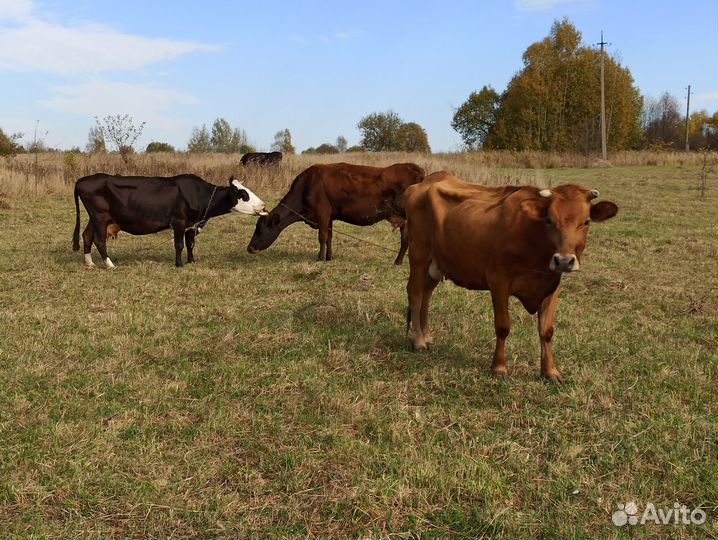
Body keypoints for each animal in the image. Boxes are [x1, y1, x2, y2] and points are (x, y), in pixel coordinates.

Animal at [73, 173, 268, 268]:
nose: (263, 205)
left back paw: (90, 263)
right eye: (243, 194)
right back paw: (110, 264)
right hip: (100, 217)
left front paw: (191, 262)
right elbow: (179, 245)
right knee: (99, 240)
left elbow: (190, 244)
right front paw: (179, 264)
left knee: (86, 236)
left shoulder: (191, 225)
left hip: (96, 218)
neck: (198, 194)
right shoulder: (179, 222)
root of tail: (81, 180)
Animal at [246, 162, 425, 264]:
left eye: (260, 229)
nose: (249, 248)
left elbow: (322, 237)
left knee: (406, 239)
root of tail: (412, 167)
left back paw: (398, 262)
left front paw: (320, 258)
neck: (307, 185)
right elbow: (329, 237)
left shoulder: (322, 213)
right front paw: (329, 257)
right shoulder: (329, 217)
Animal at [404, 172, 618, 382]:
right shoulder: (498, 279)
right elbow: (503, 326)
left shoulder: (552, 285)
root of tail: (427, 180)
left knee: (426, 295)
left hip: (437, 263)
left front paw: (550, 371)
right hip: (419, 255)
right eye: (549, 220)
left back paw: (427, 335)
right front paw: (499, 368)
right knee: (415, 294)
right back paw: (419, 341)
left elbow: (546, 331)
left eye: (586, 222)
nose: (564, 261)